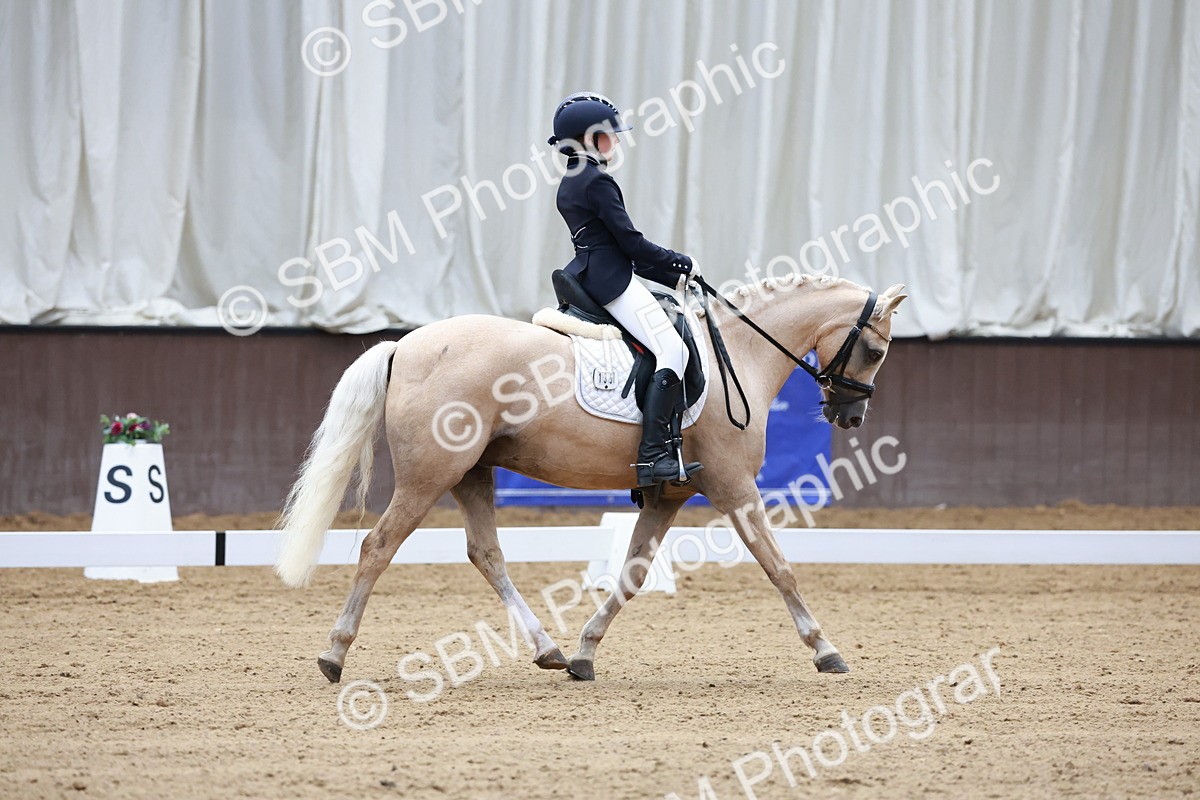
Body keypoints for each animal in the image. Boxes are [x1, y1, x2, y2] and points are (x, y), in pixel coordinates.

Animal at [274, 272, 907, 683]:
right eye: (876, 351)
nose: (849, 417)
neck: (740, 352)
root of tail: (405, 345)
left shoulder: (668, 494)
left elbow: (631, 575)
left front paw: (585, 652)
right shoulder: (733, 487)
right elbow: (779, 566)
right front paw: (826, 649)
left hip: (472, 472)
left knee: (486, 553)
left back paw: (548, 650)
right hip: (429, 475)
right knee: (378, 547)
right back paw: (334, 656)